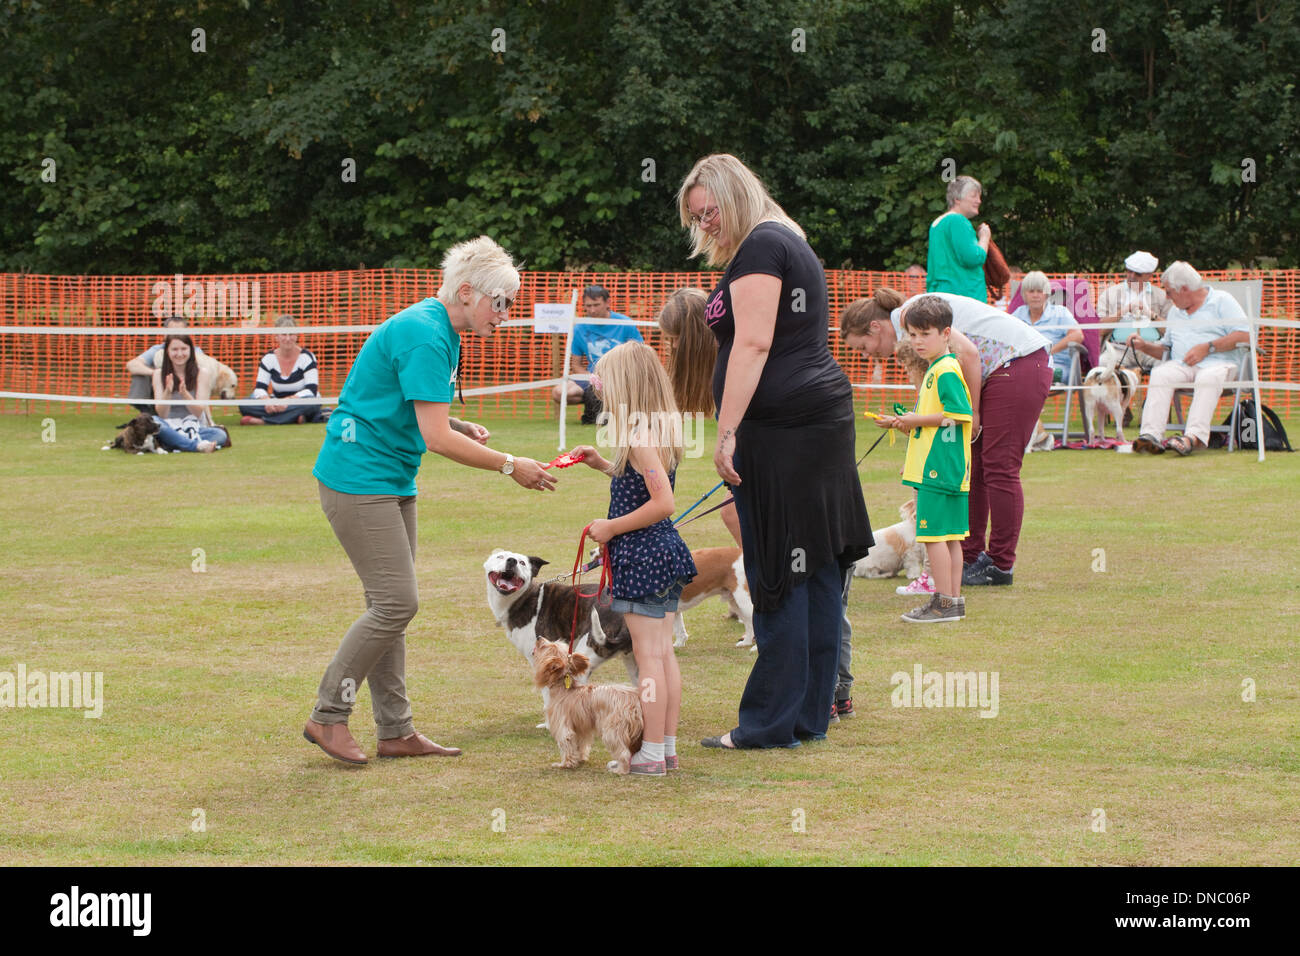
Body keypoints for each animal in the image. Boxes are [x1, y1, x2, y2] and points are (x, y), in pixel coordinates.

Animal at [533, 639, 644, 775]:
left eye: (545, 646)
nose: (539, 637)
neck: (563, 687)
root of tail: (634, 700)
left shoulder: (563, 726)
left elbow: (566, 744)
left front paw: (565, 764)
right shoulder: (581, 728)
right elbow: (581, 744)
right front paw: (580, 759)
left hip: (612, 731)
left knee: (624, 753)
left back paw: (620, 770)